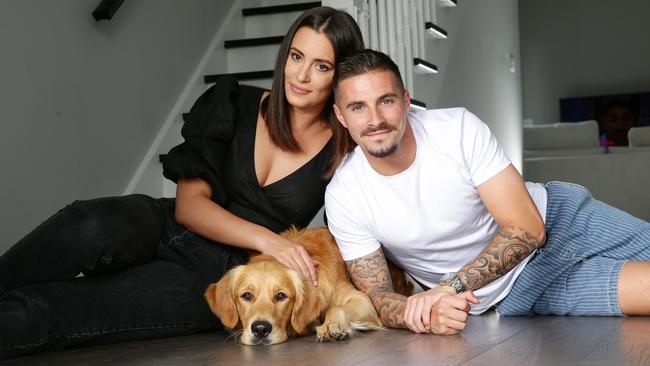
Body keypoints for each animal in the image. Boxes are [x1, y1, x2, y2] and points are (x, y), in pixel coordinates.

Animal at [202, 227, 410, 344]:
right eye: (246, 296)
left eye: (281, 296)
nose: (260, 329)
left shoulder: (363, 300)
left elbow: (335, 307)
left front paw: (331, 326)